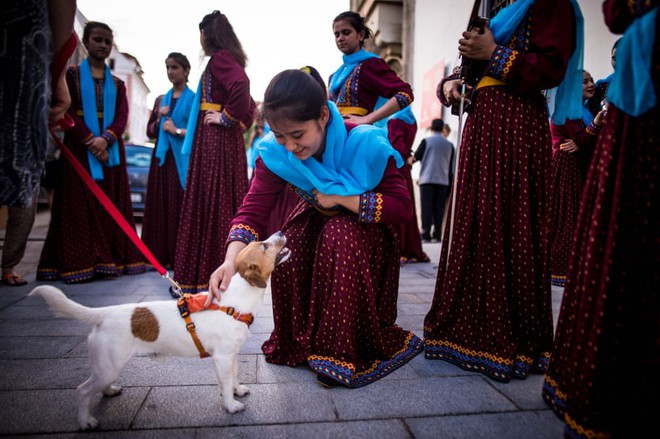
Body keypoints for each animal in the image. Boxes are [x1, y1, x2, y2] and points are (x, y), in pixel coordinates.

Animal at [29, 232, 288, 432]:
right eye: (264, 246)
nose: (282, 231)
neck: (234, 301)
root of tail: (105, 313)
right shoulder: (222, 357)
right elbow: (225, 385)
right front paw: (231, 406)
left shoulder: (230, 356)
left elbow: (233, 377)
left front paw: (237, 391)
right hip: (110, 365)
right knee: (83, 391)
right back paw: (85, 422)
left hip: (107, 368)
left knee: (98, 385)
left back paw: (110, 391)